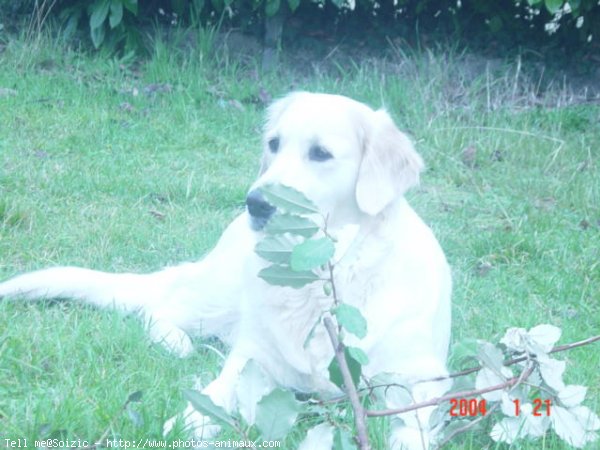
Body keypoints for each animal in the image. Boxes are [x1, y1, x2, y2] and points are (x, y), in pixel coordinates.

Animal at [0, 92, 450, 450]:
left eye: (320, 153)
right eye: (274, 144)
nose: (256, 203)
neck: (320, 276)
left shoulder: (420, 375)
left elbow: (414, 421)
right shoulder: (256, 356)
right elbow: (217, 392)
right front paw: (187, 422)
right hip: (218, 294)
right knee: (160, 306)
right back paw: (176, 342)